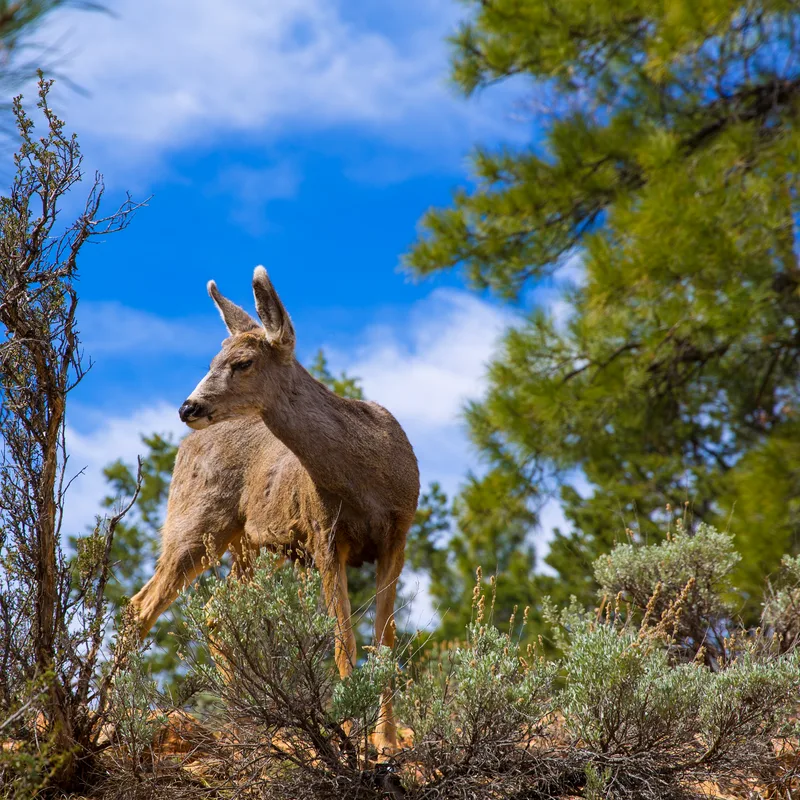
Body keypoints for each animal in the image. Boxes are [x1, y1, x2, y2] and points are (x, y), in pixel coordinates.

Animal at [128, 266, 420, 750]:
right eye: (213, 360)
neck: (363, 480)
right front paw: (354, 735)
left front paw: (387, 740)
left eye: (242, 362)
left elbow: (385, 641)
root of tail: (183, 450)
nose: (188, 406)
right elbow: (344, 643)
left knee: (216, 611)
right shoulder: (324, 536)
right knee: (142, 606)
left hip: (249, 545)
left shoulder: (397, 536)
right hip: (194, 521)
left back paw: (244, 720)